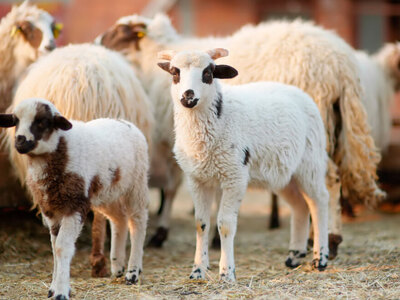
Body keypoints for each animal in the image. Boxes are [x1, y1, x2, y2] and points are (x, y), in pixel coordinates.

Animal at [0, 98, 148, 298]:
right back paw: (117, 266)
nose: (20, 140)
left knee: (138, 222)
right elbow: (55, 247)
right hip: (108, 193)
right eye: (15, 121)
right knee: (120, 220)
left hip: (136, 184)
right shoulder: (51, 210)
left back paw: (133, 273)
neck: (62, 149)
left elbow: (62, 247)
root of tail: (126, 122)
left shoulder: (75, 204)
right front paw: (53, 288)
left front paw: (61, 291)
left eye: (42, 122)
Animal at [96, 14, 384, 258]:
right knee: (332, 179)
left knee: (327, 181)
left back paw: (328, 241)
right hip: (334, 122)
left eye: (121, 32)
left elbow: (172, 187)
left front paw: (163, 233)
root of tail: (341, 64)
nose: (97, 43)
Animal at [158, 48, 330, 282]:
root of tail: (300, 93)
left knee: (319, 201)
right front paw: (198, 271)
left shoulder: (234, 176)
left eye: (208, 73)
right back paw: (294, 256)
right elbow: (201, 224)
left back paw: (320, 259)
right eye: (175, 72)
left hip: (310, 162)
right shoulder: (197, 179)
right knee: (300, 206)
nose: (188, 96)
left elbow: (225, 225)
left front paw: (226, 273)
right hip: (284, 174)